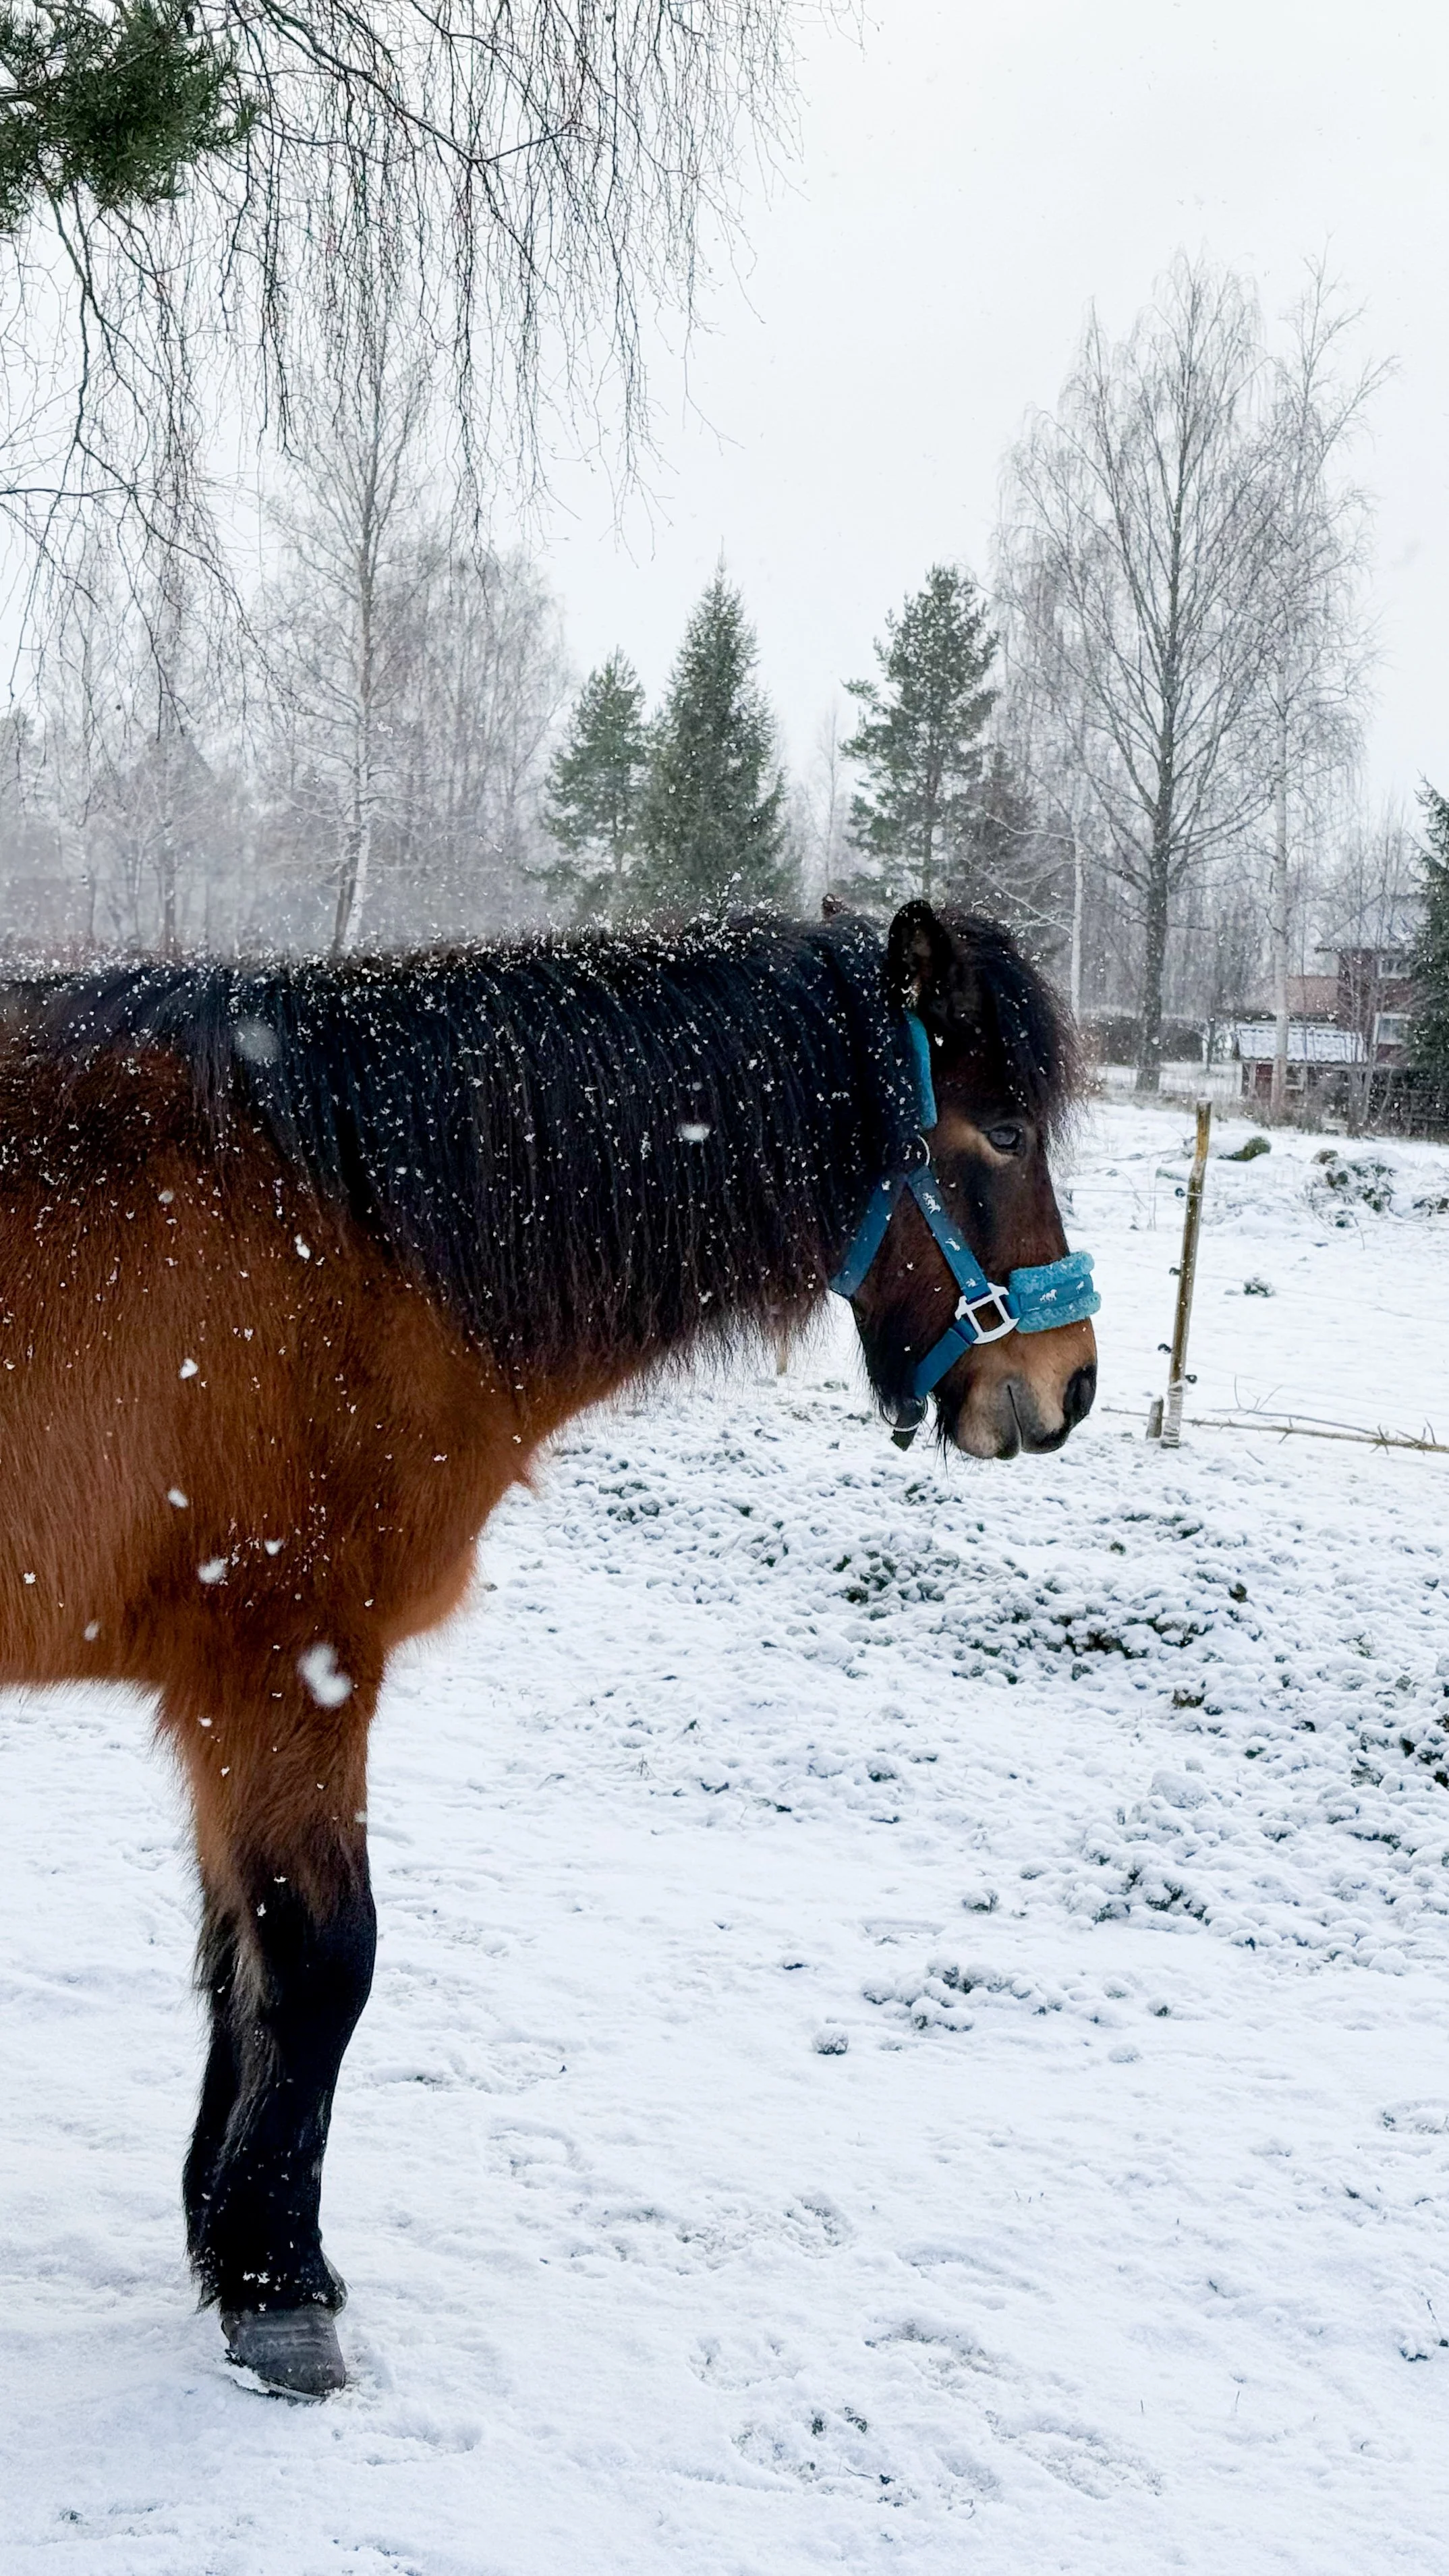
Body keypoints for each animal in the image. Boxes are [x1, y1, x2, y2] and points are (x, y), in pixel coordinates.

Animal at [0, 895, 1095, 2397]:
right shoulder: (290, 1671)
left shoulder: (232, 1698)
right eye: (998, 1130)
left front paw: (227, 2244)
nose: (1069, 1383)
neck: (356, 1232)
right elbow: (322, 1960)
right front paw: (284, 2292)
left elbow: (239, 1964)